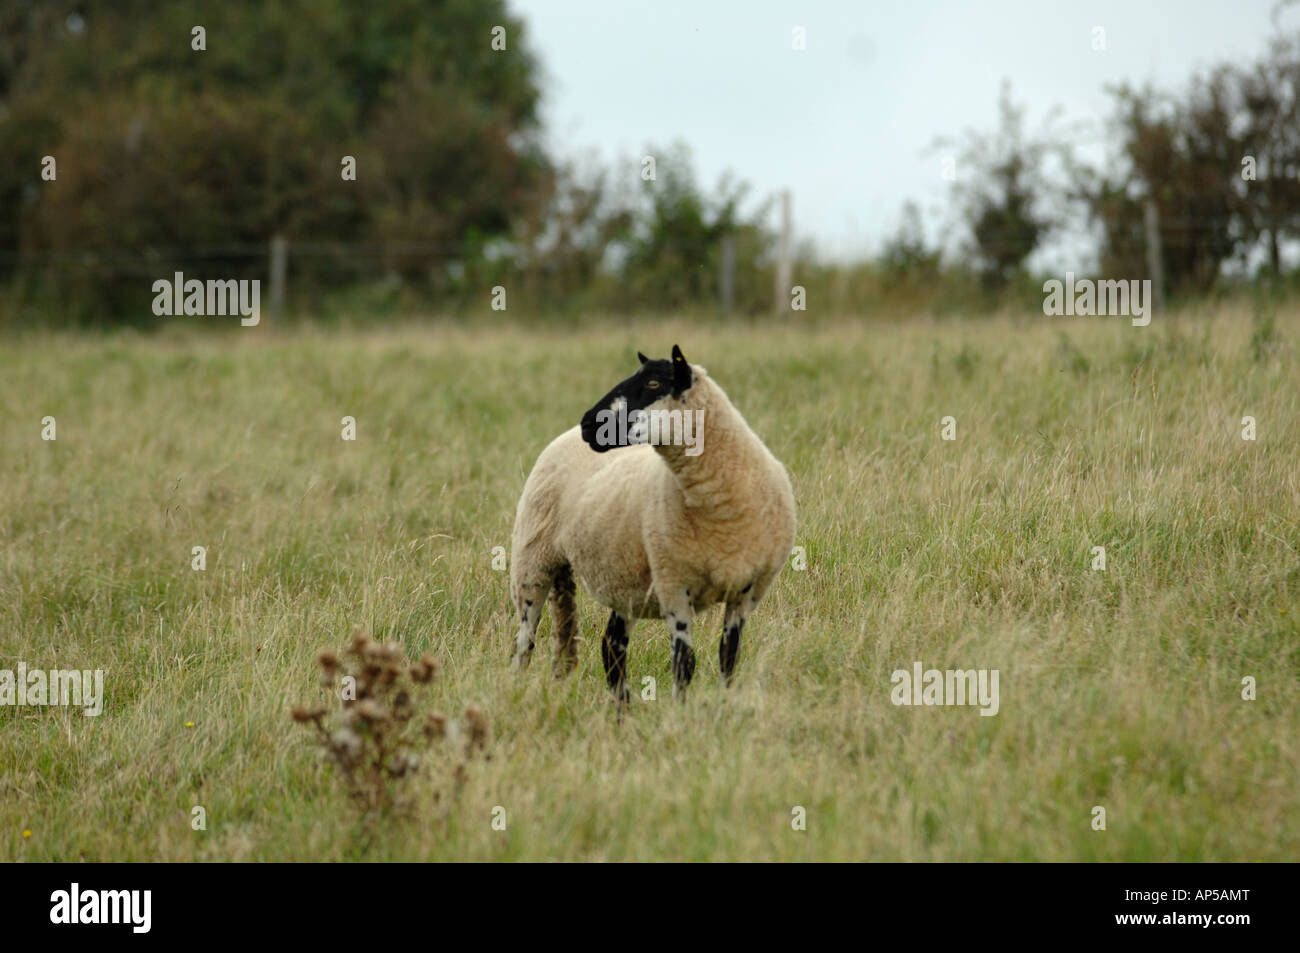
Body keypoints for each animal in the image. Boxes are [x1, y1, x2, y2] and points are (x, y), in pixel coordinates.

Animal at [508, 345, 796, 701]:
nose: (588, 423)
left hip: (622, 577)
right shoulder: (673, 584)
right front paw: (680, 711)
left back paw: (623, 709)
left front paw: (724, 703)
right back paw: (515, 688)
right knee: (524, 643)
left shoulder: (746, 592)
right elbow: (685, 663)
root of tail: (566, 436)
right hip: (531, 561)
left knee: (611, 647)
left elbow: (729, 657)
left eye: (655, 383)